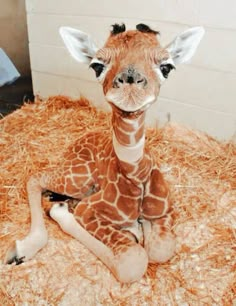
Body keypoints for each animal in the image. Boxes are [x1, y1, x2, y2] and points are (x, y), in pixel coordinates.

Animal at [6, 23, 205, 282]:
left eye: (166, 67)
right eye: (97, 65)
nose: (130, 83)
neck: (135, 175)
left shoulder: (166, 210)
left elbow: (160, 249)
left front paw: (139, 227)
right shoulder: (88, 210)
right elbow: (133, 261)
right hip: (77, 178)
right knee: (35, 177)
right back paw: (23, 248)